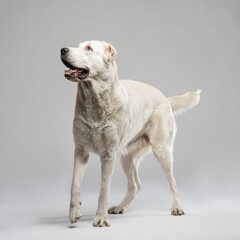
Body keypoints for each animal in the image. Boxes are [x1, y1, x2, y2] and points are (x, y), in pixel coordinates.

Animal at [60, 39, 201, 227]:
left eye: (89, 48)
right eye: (78, 45)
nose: (62, 50)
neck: (94, 102)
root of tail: (165, 98)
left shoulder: (108, 155)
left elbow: (104, 189)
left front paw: (100, 218)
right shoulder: (80, 151)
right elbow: (74, 184)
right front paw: (75, 212)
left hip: (162, 150)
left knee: (172, 182)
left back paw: (177, 208)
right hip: (126, 157)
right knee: (135, 185)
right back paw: (120, 207)